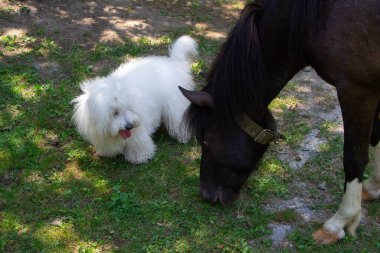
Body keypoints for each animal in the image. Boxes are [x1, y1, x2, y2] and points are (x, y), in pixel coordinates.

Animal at [71, 36, 197, 165]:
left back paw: (183, 136)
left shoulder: (138, 129)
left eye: (128, 108)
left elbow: (138, 142)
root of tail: (174, 63)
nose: (129, 126)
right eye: (115, 113)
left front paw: (139, 156)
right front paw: (106, 152)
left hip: (175, 105)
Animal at [180, 0, 380, 245]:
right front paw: (374, 187)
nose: (206, 194)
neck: (320, 17)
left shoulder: (357, 91)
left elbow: (354, 159)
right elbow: (377, 138)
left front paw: (339, 223)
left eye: (205, 141)